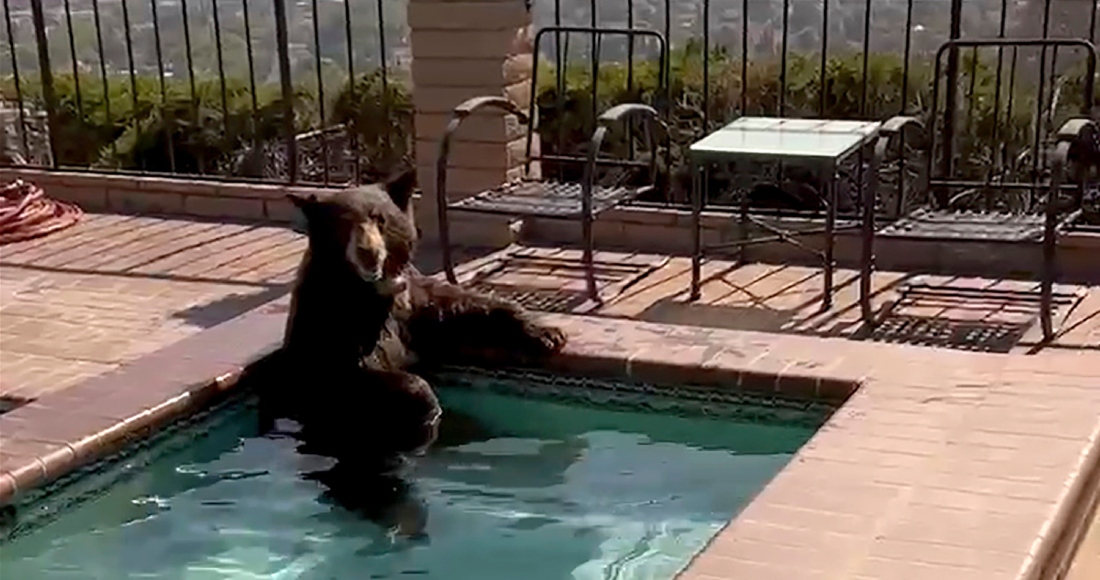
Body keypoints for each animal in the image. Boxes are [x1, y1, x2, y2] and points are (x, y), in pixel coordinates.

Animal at [277, 170, 567, 460]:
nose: (367, 252)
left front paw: (547, 333)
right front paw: (426, 402)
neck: (372, 290)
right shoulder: (329, 319)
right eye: (342, 224)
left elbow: (457, 307)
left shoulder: (410, 302)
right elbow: (346, 375)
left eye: (380, 219)